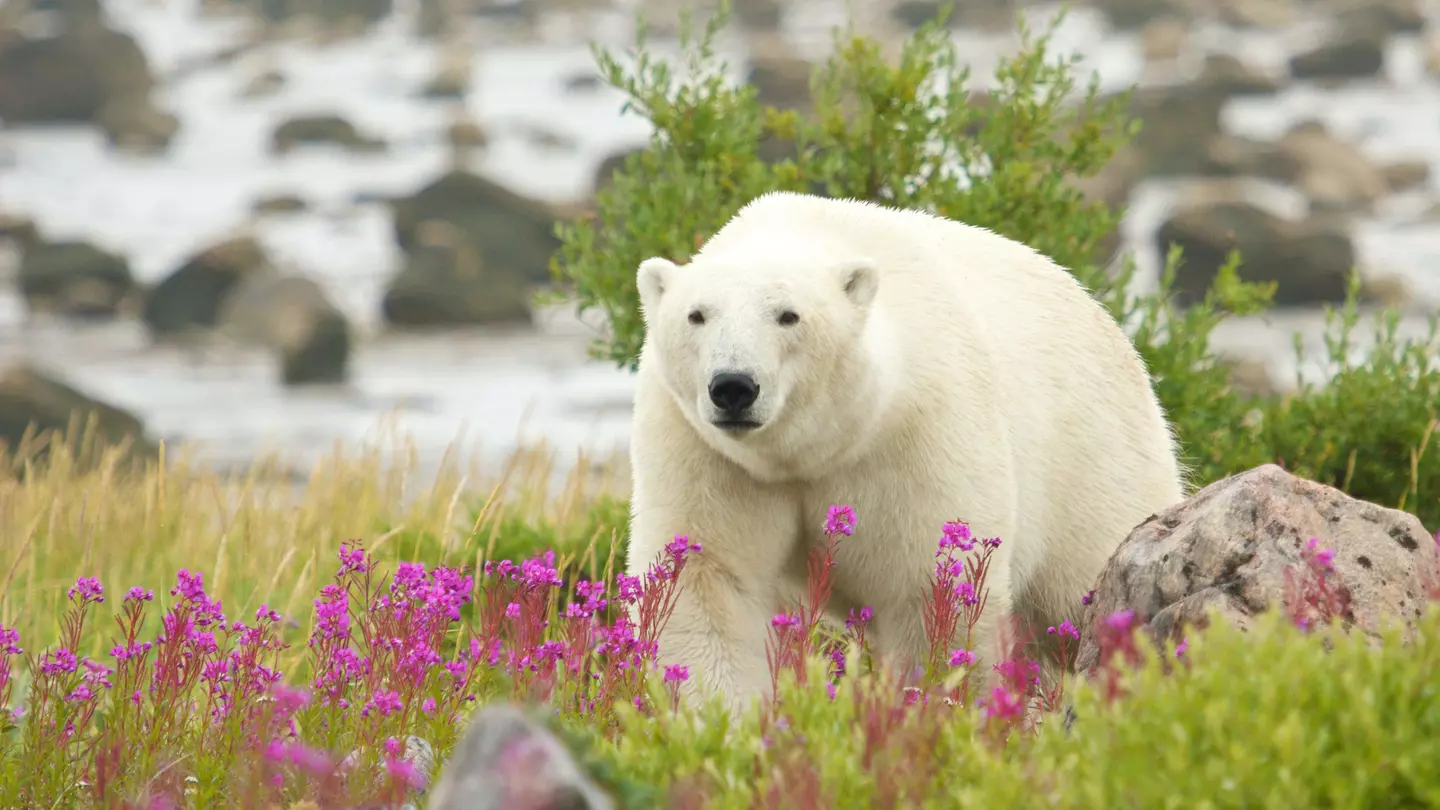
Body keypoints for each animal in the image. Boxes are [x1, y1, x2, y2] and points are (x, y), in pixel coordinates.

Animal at [625, 191, 1186, 716]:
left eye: (788, 315)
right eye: (697, 315)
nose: (733, 387)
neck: (809, 450)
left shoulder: (917, 434)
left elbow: (930, 590)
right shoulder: (705, 450)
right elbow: (708, 577)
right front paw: (722, 719)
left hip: (1092, 460)